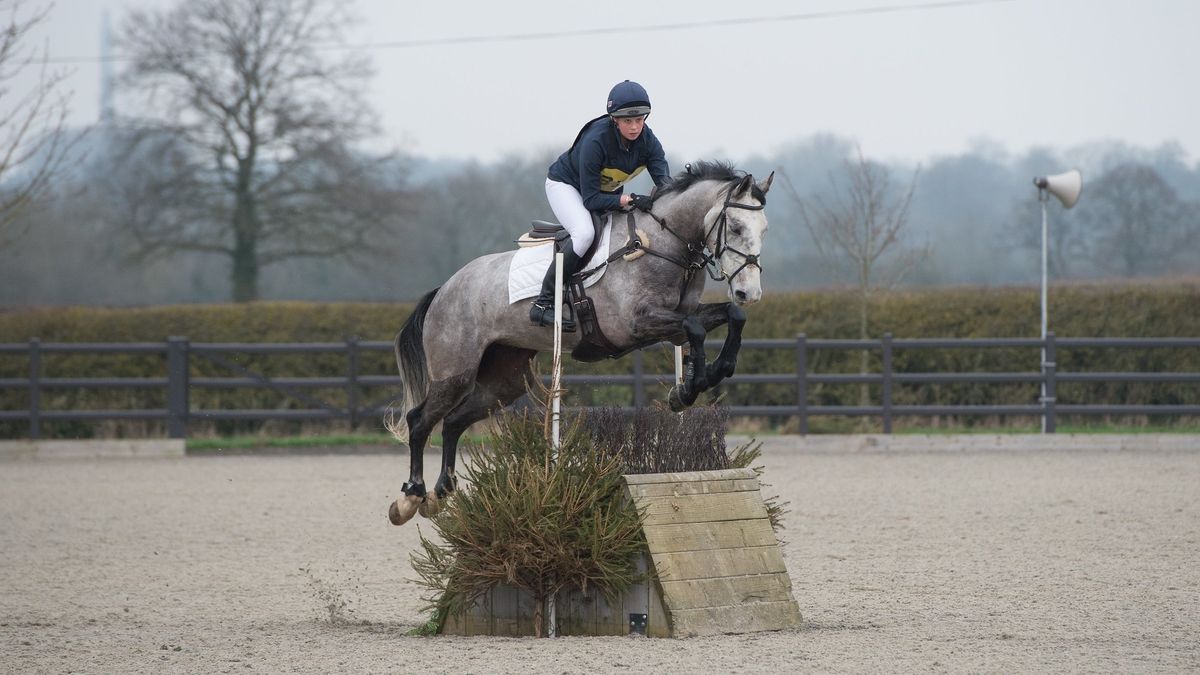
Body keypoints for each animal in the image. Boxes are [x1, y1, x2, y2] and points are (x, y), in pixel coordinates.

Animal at [388, 159, 772, 523]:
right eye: (735, 227)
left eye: (764, 229)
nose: (749, 293)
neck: (661, 243)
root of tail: (445, 288)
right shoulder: (636, 323)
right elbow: (695, 329)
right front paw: (690, 387)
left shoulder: (676, 320)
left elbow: (728, 318)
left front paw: (698, 381)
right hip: (455, 372)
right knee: (420, 420)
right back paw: (411, 497)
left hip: (505, 380)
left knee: (453, 421)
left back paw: (441, 492)